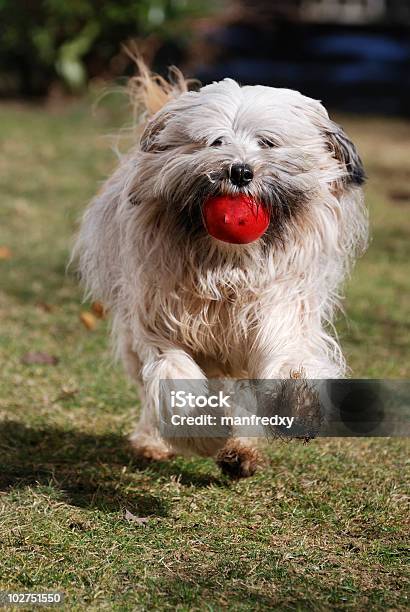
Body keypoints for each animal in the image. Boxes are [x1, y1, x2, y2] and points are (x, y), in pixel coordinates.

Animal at [73, 59, 368, 476]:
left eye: (267, 142)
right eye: (216, 142)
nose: (240, 172)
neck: (226, 263)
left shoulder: (277, 306)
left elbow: (287, 354)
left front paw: (296, 403)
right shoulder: (158, 323)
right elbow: (173, 377)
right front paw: (200, 431)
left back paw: (240, 450)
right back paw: (157, 441)